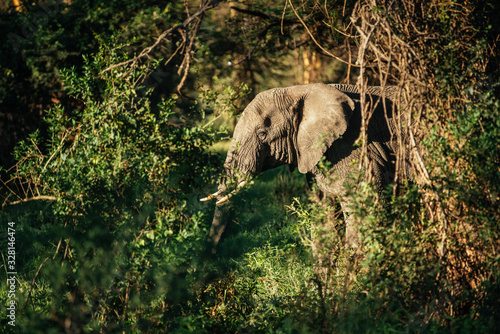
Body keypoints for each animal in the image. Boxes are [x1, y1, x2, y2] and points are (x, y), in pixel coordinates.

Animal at [201, 83, 404, 249]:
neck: (301, 90)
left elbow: (367, 216)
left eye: (262, 134)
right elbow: (325, 221)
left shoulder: (353, 146)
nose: (209, 255)